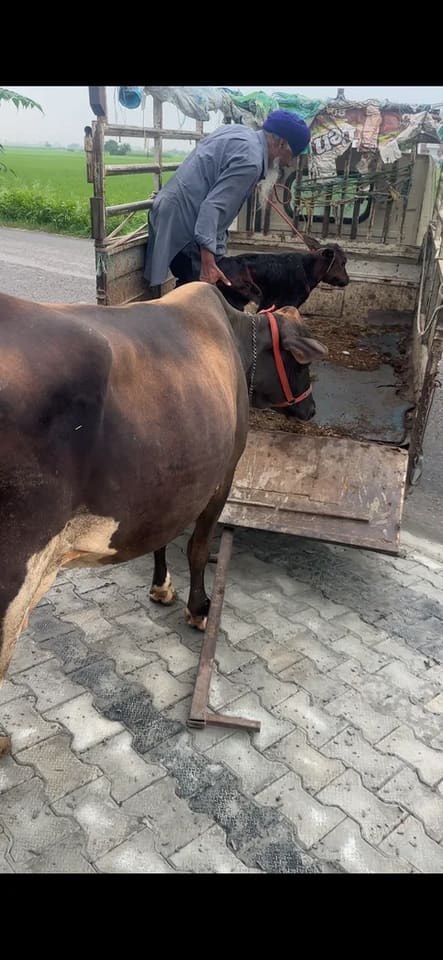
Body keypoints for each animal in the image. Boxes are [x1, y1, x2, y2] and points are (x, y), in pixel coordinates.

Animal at [0, 282, 327, 754]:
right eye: (303, 365)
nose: (312, 410)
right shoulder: (223, 476)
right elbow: (197, 548)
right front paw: (199, 608)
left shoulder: (165, 488)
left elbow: (161, 538)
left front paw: (161, 587)